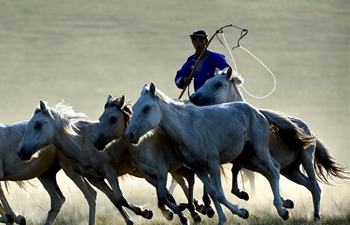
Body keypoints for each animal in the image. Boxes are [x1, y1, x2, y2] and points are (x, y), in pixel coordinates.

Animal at [16, 100, 153, 225]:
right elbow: (114, 199)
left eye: (38, 125)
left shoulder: (109, 171)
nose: (21, 152)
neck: (83, 144)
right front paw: (134, 218)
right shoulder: (95, 179)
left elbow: (120, 198)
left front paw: (145, 213)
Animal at [91, 95, 215, 225]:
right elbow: (165, 196)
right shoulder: (150, 176)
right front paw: (180, 212)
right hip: (179, 167)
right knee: (190, 176)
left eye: (113, 119)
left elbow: (163, 196)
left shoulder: (162, 171)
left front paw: (179, 212)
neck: (143, 146)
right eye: (100, 118)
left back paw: (206, 207)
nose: (96, 142)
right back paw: (193, 207)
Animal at [124, 83, 304, 225]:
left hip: (259, 149)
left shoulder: (213, 163)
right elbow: (212, 192)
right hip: (246, 158)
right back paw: (286, 203)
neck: (187, 128)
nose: (129, 135)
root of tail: (256, 111)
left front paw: (241, 212)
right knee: (269, 171)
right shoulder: (198, 168)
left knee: (274, 169)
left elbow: (219, 193)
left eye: (147, 108)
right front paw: (223, 218)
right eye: (134, 108)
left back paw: (282, 210)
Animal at [190, 66, 350, 220]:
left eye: (217, 84)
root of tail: (306, 127)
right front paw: (245, 194)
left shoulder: (256, 161)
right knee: (309, 185)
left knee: (316, 187)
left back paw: (316, 215)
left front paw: (282, 204)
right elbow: (239, 175)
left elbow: (269, 176)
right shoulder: (244, 160)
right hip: (291, 171)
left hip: (306, 159)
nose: (193, 97)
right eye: (206, 81)